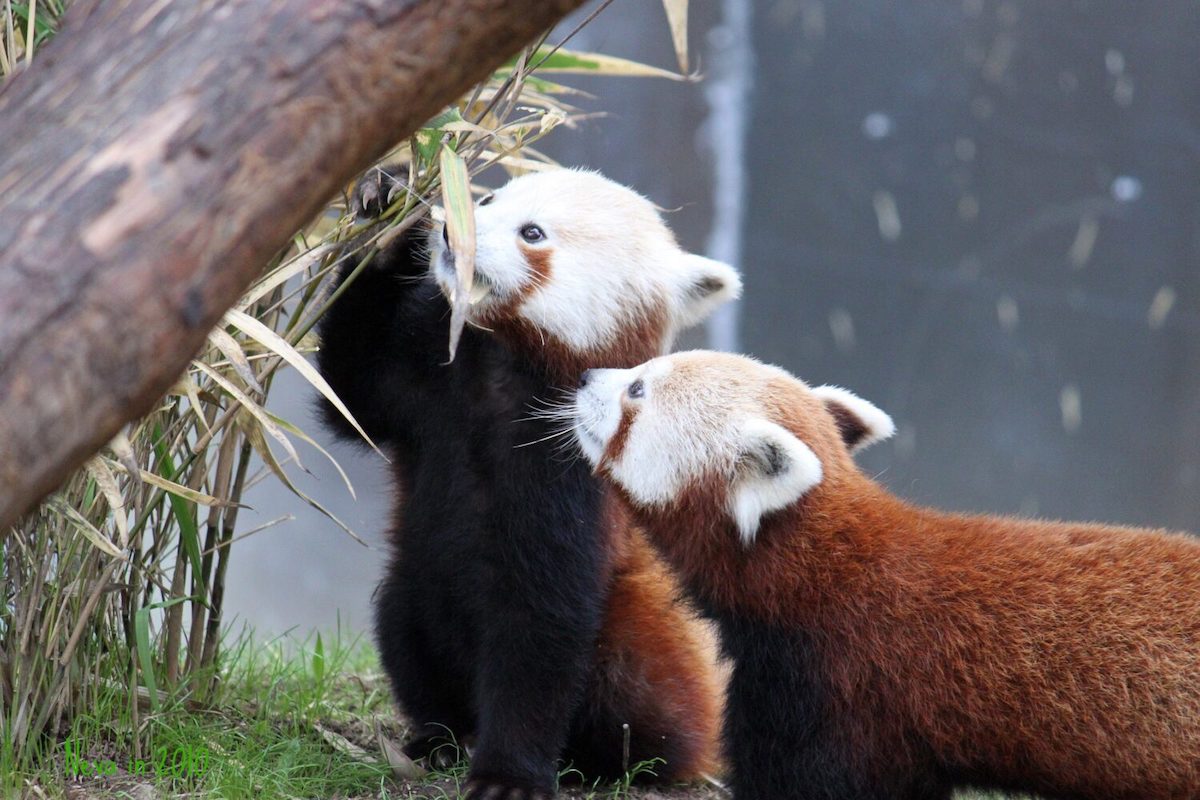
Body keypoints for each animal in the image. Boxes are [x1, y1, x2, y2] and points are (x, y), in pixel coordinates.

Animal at [316, 168, 741, 800]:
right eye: (487, 199)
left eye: (532, 232)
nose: (452, 232)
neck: (493, 370)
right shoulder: (421, 386)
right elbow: (348, 396)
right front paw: (385, 214)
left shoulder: (572, 476)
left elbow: (541, 628)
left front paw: (509, 776)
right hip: (414, 587)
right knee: (402, 624)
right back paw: (437, 738)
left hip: (647, 639)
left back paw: (595, 763)